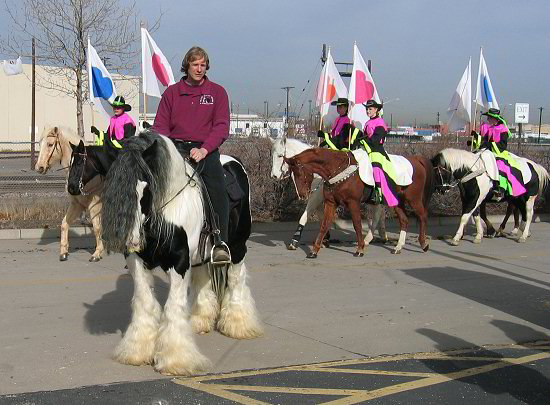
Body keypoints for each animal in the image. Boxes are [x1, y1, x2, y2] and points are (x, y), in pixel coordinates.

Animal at [34, 124, 104, 260]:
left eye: (50, 144)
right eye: (40, 143)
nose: (39, 167)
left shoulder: (95, 204)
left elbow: (97, 227)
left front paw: (97, 253)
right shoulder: (77, 204)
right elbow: (64, 224)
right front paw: (63, 252)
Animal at [97, 133, 264, 376]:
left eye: (146, 188)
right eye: (114, 187)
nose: (131, 240)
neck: (167, 213)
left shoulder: (179, 263)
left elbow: (172, 308)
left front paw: (176, 360)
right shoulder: (138, 262)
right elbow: (145, 303)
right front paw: (137, 351)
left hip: (237, 248)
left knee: (236, 281)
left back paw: (239, 325)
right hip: (201, 258)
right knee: (203, 281)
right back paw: (199, 321)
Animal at [284, 148, 436, 256]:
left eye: (298, 173)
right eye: (291, 174)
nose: (302, 195)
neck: (338, 169)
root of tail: (416, 159)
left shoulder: (353, 203)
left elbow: (357, 224)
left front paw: (360, 248)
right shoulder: (331, 203)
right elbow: (324, 224)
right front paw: (314, 250)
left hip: (414, 199)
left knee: (422, 216)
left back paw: (423, 243)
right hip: (397, 201)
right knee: (404, 220)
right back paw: (398, 246)